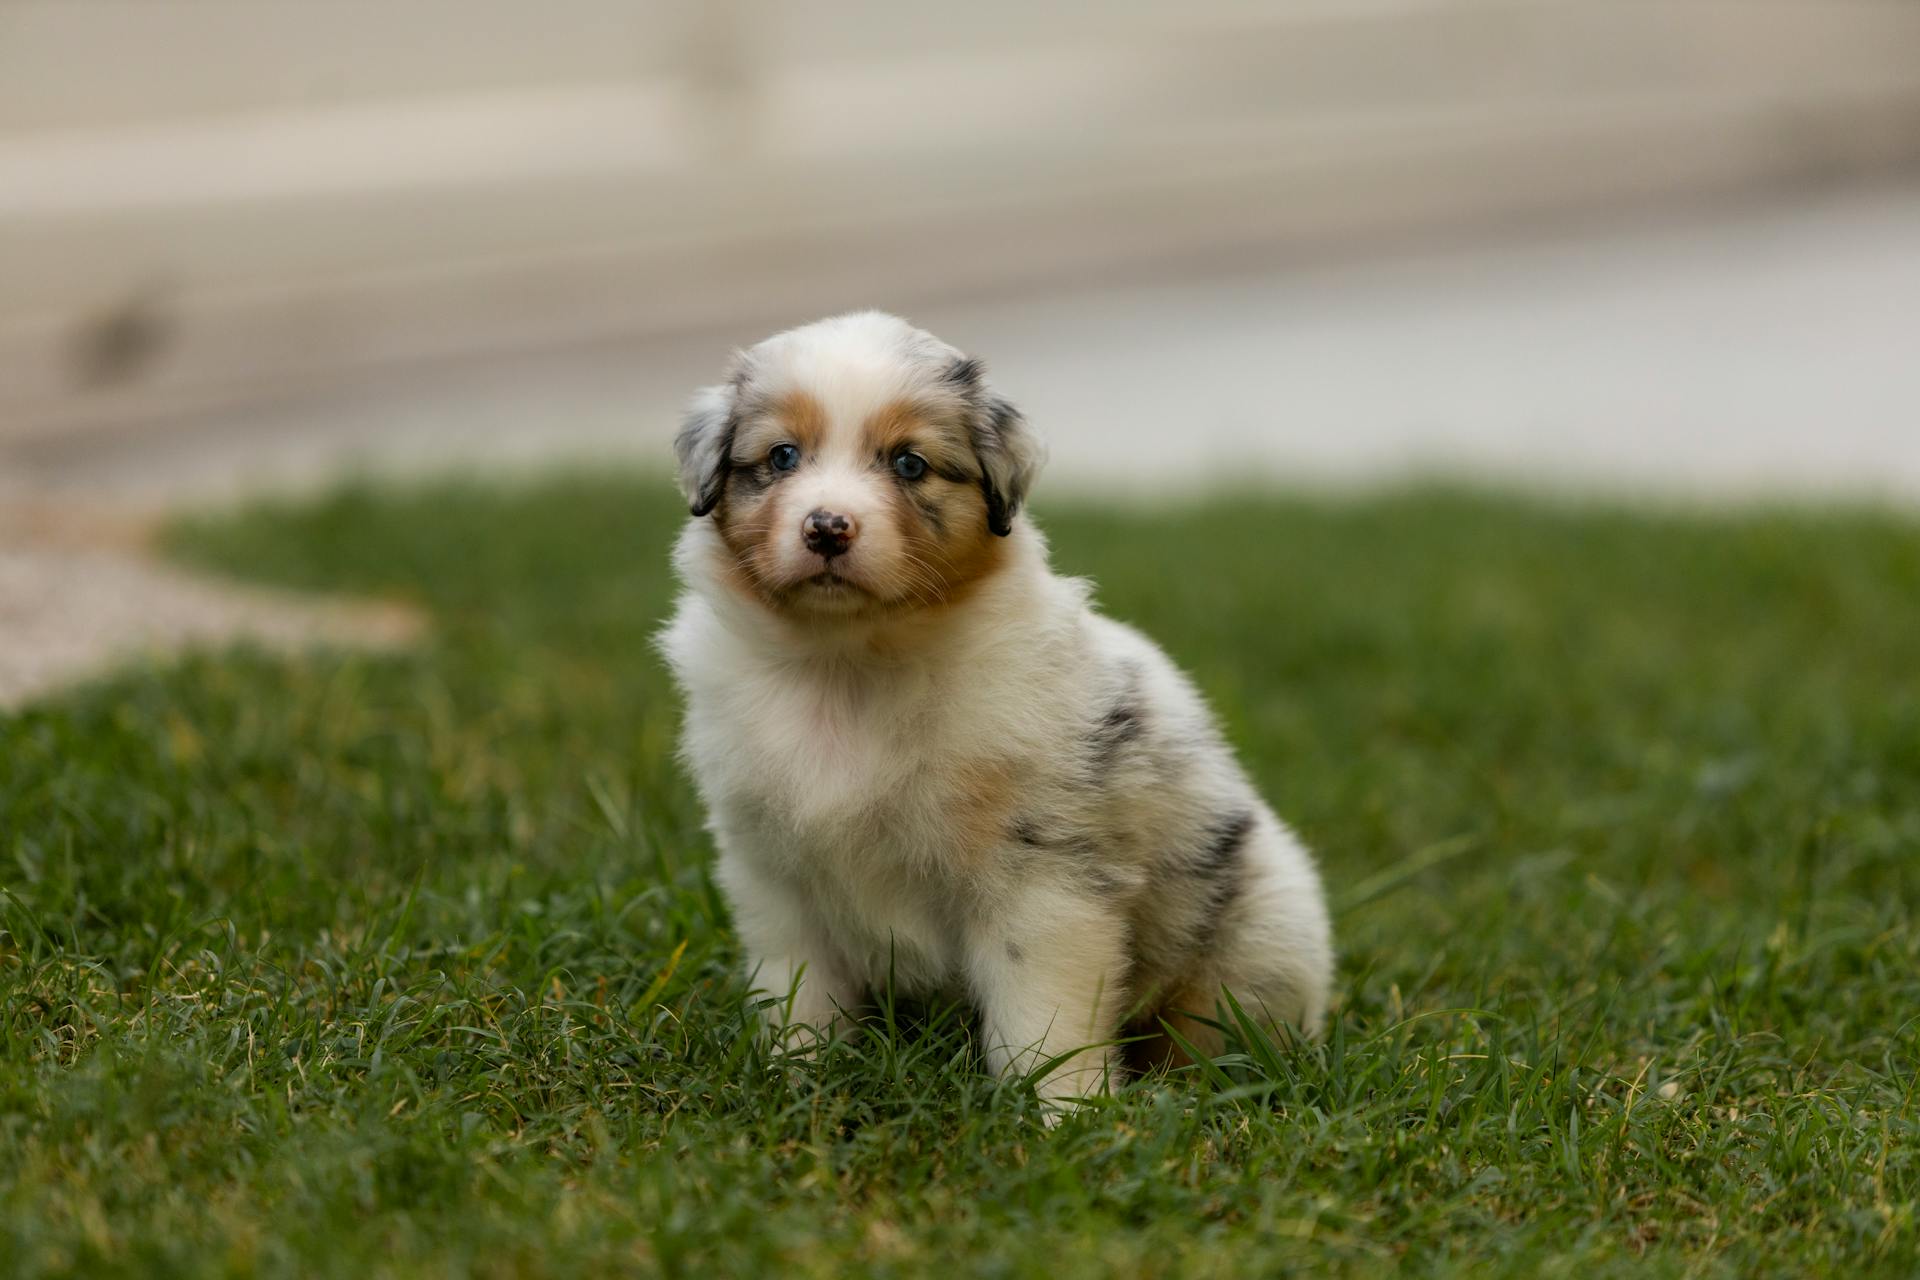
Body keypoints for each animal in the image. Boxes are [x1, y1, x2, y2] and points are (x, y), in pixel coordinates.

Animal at [660, 310, 1336, 1105]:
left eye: (909, 464)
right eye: (782, 456)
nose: (827, 527)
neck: (848, 662)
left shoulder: (1040, 878)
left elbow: (1041, 1016)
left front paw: (1067, 1112)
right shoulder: (773, 872)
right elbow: (801, 996)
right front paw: (798, 1083)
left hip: (1258, 941)